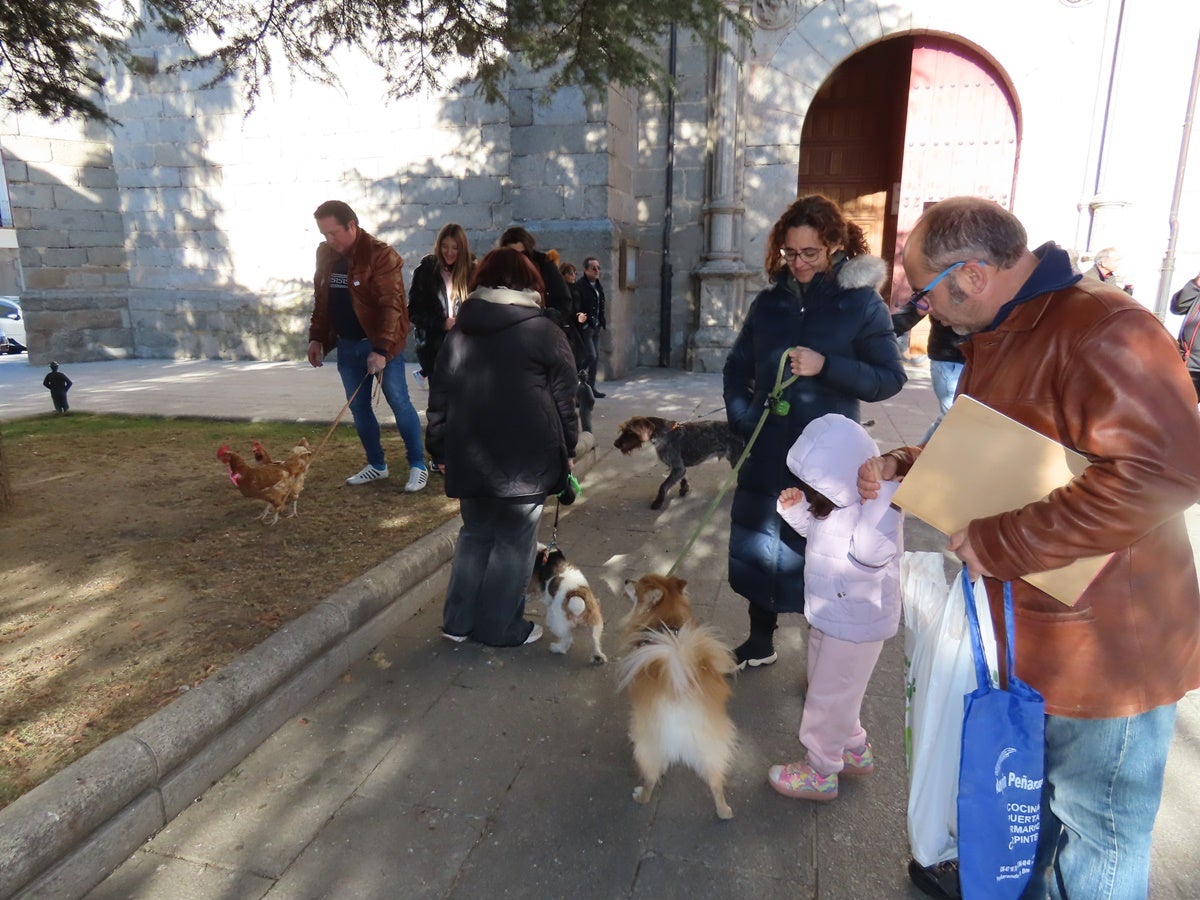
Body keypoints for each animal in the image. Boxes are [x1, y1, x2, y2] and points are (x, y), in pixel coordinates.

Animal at [614, 417, 744, 511]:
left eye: (630, 431)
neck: (664, 434)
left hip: (737, 459)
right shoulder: (679, 468)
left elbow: (663, 486)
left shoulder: (678, 467)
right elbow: (682, 478)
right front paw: (684, 488)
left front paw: (658, 502)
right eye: (623, 430)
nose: (615, 444)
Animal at [619, 573, 739, 820]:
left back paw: (640, 795)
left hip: (648, 748)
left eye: (636, 586)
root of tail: (682, 696)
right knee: (716, 783)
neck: (667, 620)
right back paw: (724, 812)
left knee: (650, 779)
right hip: (712, 749)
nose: (626, 580)